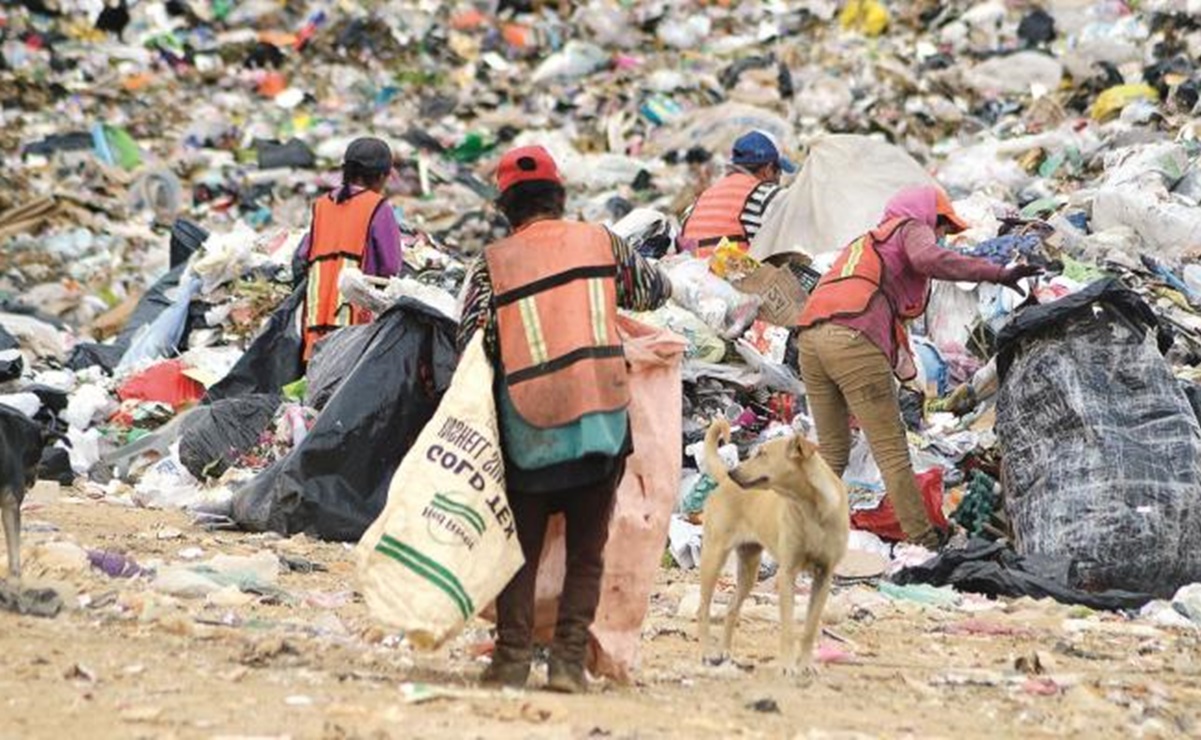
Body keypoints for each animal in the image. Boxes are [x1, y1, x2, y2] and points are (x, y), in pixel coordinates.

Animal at [701, 418, 850, 672]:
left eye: (762, 453)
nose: (733, 472)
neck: (811, 509)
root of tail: (723, 482)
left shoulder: (824, 575)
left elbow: (810, 627)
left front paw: (806, 664)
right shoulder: (787, 573)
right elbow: (788, 626)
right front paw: (789, 665)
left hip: (749, 568)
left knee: (731, 609)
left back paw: (725, 652)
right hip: (713, 556)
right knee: (703, 609)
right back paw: (704, 652)